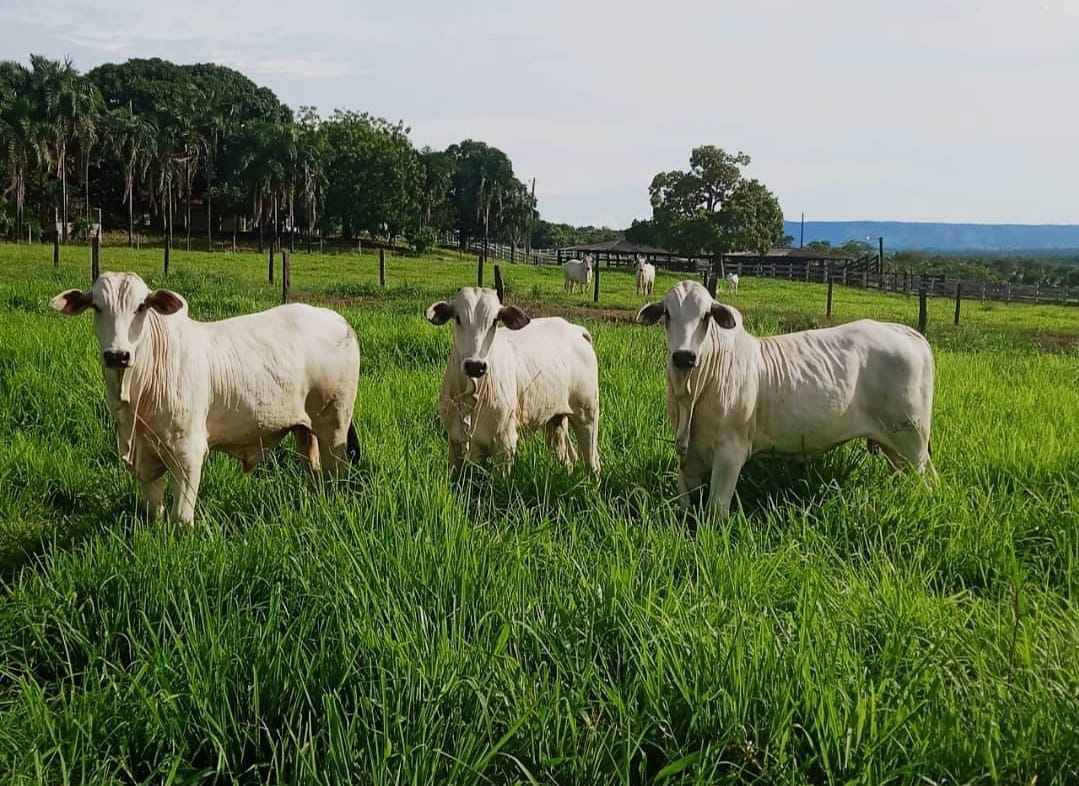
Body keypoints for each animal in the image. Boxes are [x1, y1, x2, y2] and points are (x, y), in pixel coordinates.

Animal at [49, 273, 362, 524]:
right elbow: (153, 511)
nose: (117, 355)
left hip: (334, 425)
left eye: (140, 306)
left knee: (338, 471)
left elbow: (181, 517)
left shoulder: (189, 452)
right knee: (313, 469)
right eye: (96, 307)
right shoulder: (146, 457)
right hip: (304, 428)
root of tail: (339, 320)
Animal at [425, 287, 604, 475]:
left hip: (588, 416)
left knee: (593, 462)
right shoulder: (455, 444)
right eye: (458, 318)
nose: (475, 365)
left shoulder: (505, 445)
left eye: (494, 321)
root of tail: (576, 330)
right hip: (555, 420)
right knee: (568, 457)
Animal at [634, 278, 932, 518]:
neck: (692, 394)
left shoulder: (731, 453)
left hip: (912, 442)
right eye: (667, 314)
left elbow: (716, 510)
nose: (684, 356)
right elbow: (685, 505)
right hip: (897, 448)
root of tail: (908, 333)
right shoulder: (687, 458)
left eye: (706, 315)